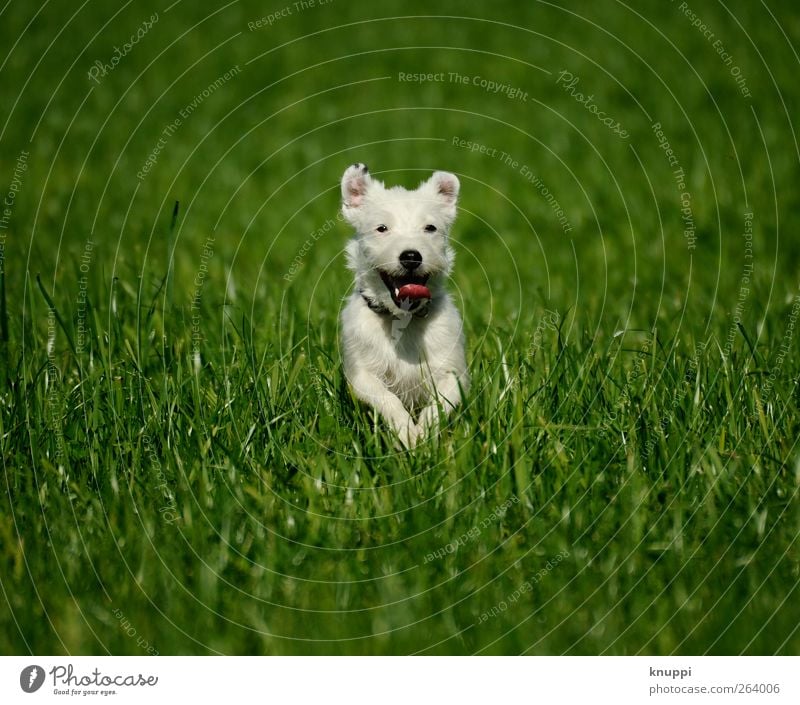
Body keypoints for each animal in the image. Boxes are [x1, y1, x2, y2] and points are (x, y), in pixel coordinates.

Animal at [338, 164, 468, 446]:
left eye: (430, 228)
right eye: (382, 228)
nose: (411, 256)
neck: (402, 319)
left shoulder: (453, 375)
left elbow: (439, 404)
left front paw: (425, 434)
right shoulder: (361, 375)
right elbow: (387, 398)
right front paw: (407, 432)